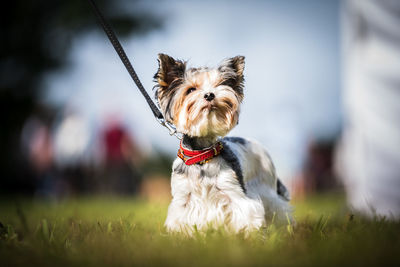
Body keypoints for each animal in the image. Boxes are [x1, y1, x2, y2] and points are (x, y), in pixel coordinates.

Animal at [154, 54, 290, 234]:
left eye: (219, 85)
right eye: (190, 90)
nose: (210, 95)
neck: (201, 154)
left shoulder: (234, 194)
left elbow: (247, 215)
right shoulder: (183, 199)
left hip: (268, 189)